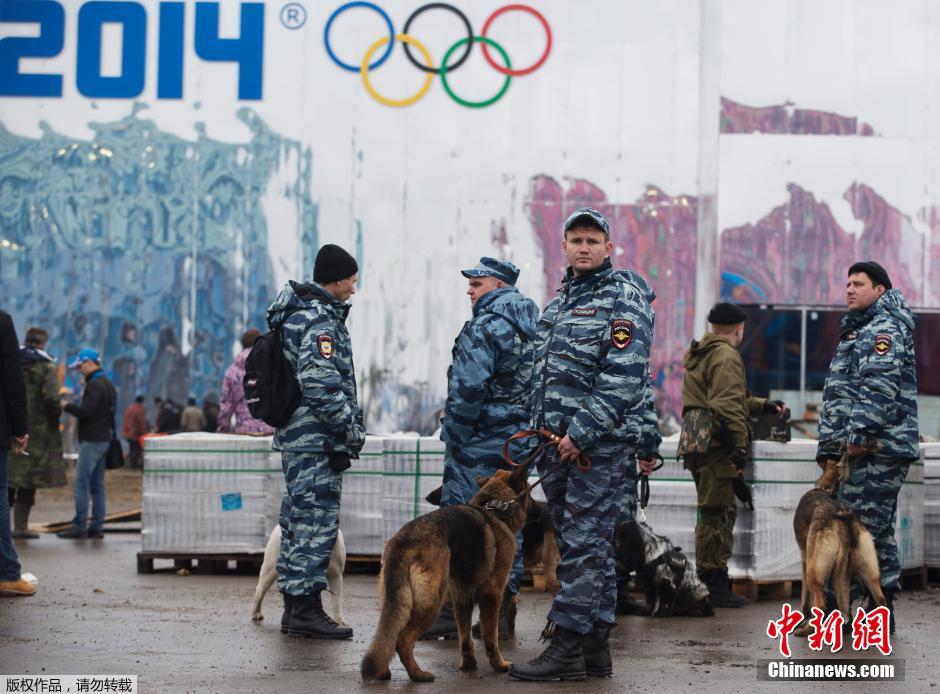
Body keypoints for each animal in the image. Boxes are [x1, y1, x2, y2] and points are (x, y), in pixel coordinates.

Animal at [362, 468, 528, 684]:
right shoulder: (492, 595)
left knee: (388, 633)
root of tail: (405, 540)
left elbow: (465, 638)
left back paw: (383, 671)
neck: (494, 508)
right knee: (402, 640)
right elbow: (491, 637)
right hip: (431, 602)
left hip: (397, 600)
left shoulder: (463, 599)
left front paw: (469, 665)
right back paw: (417, 674)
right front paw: (499, 665)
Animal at [792, 462, 880, 636]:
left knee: (821, 606)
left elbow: (805, 598)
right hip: (869, 572)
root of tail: (841, 513)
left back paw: (808, 630)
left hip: (814, 571)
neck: (824, 488)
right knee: (880, 600)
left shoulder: (805, 560)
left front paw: (804, 617)